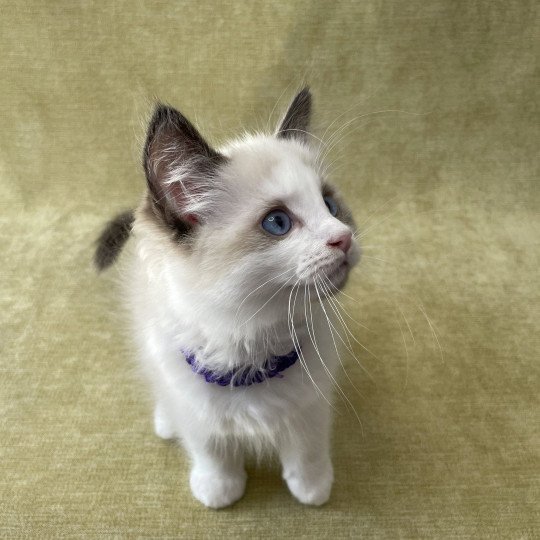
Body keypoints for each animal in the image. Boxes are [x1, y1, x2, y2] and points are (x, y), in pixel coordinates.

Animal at [95, 87, 360, 506]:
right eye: (277, 222)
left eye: (330, 205)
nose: (344, 237)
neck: (251, 346)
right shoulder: (195, 407)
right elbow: (210, 449)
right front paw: (219, 490)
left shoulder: (313, 399)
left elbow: (308, 446)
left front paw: (312, 488)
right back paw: (165, 422)